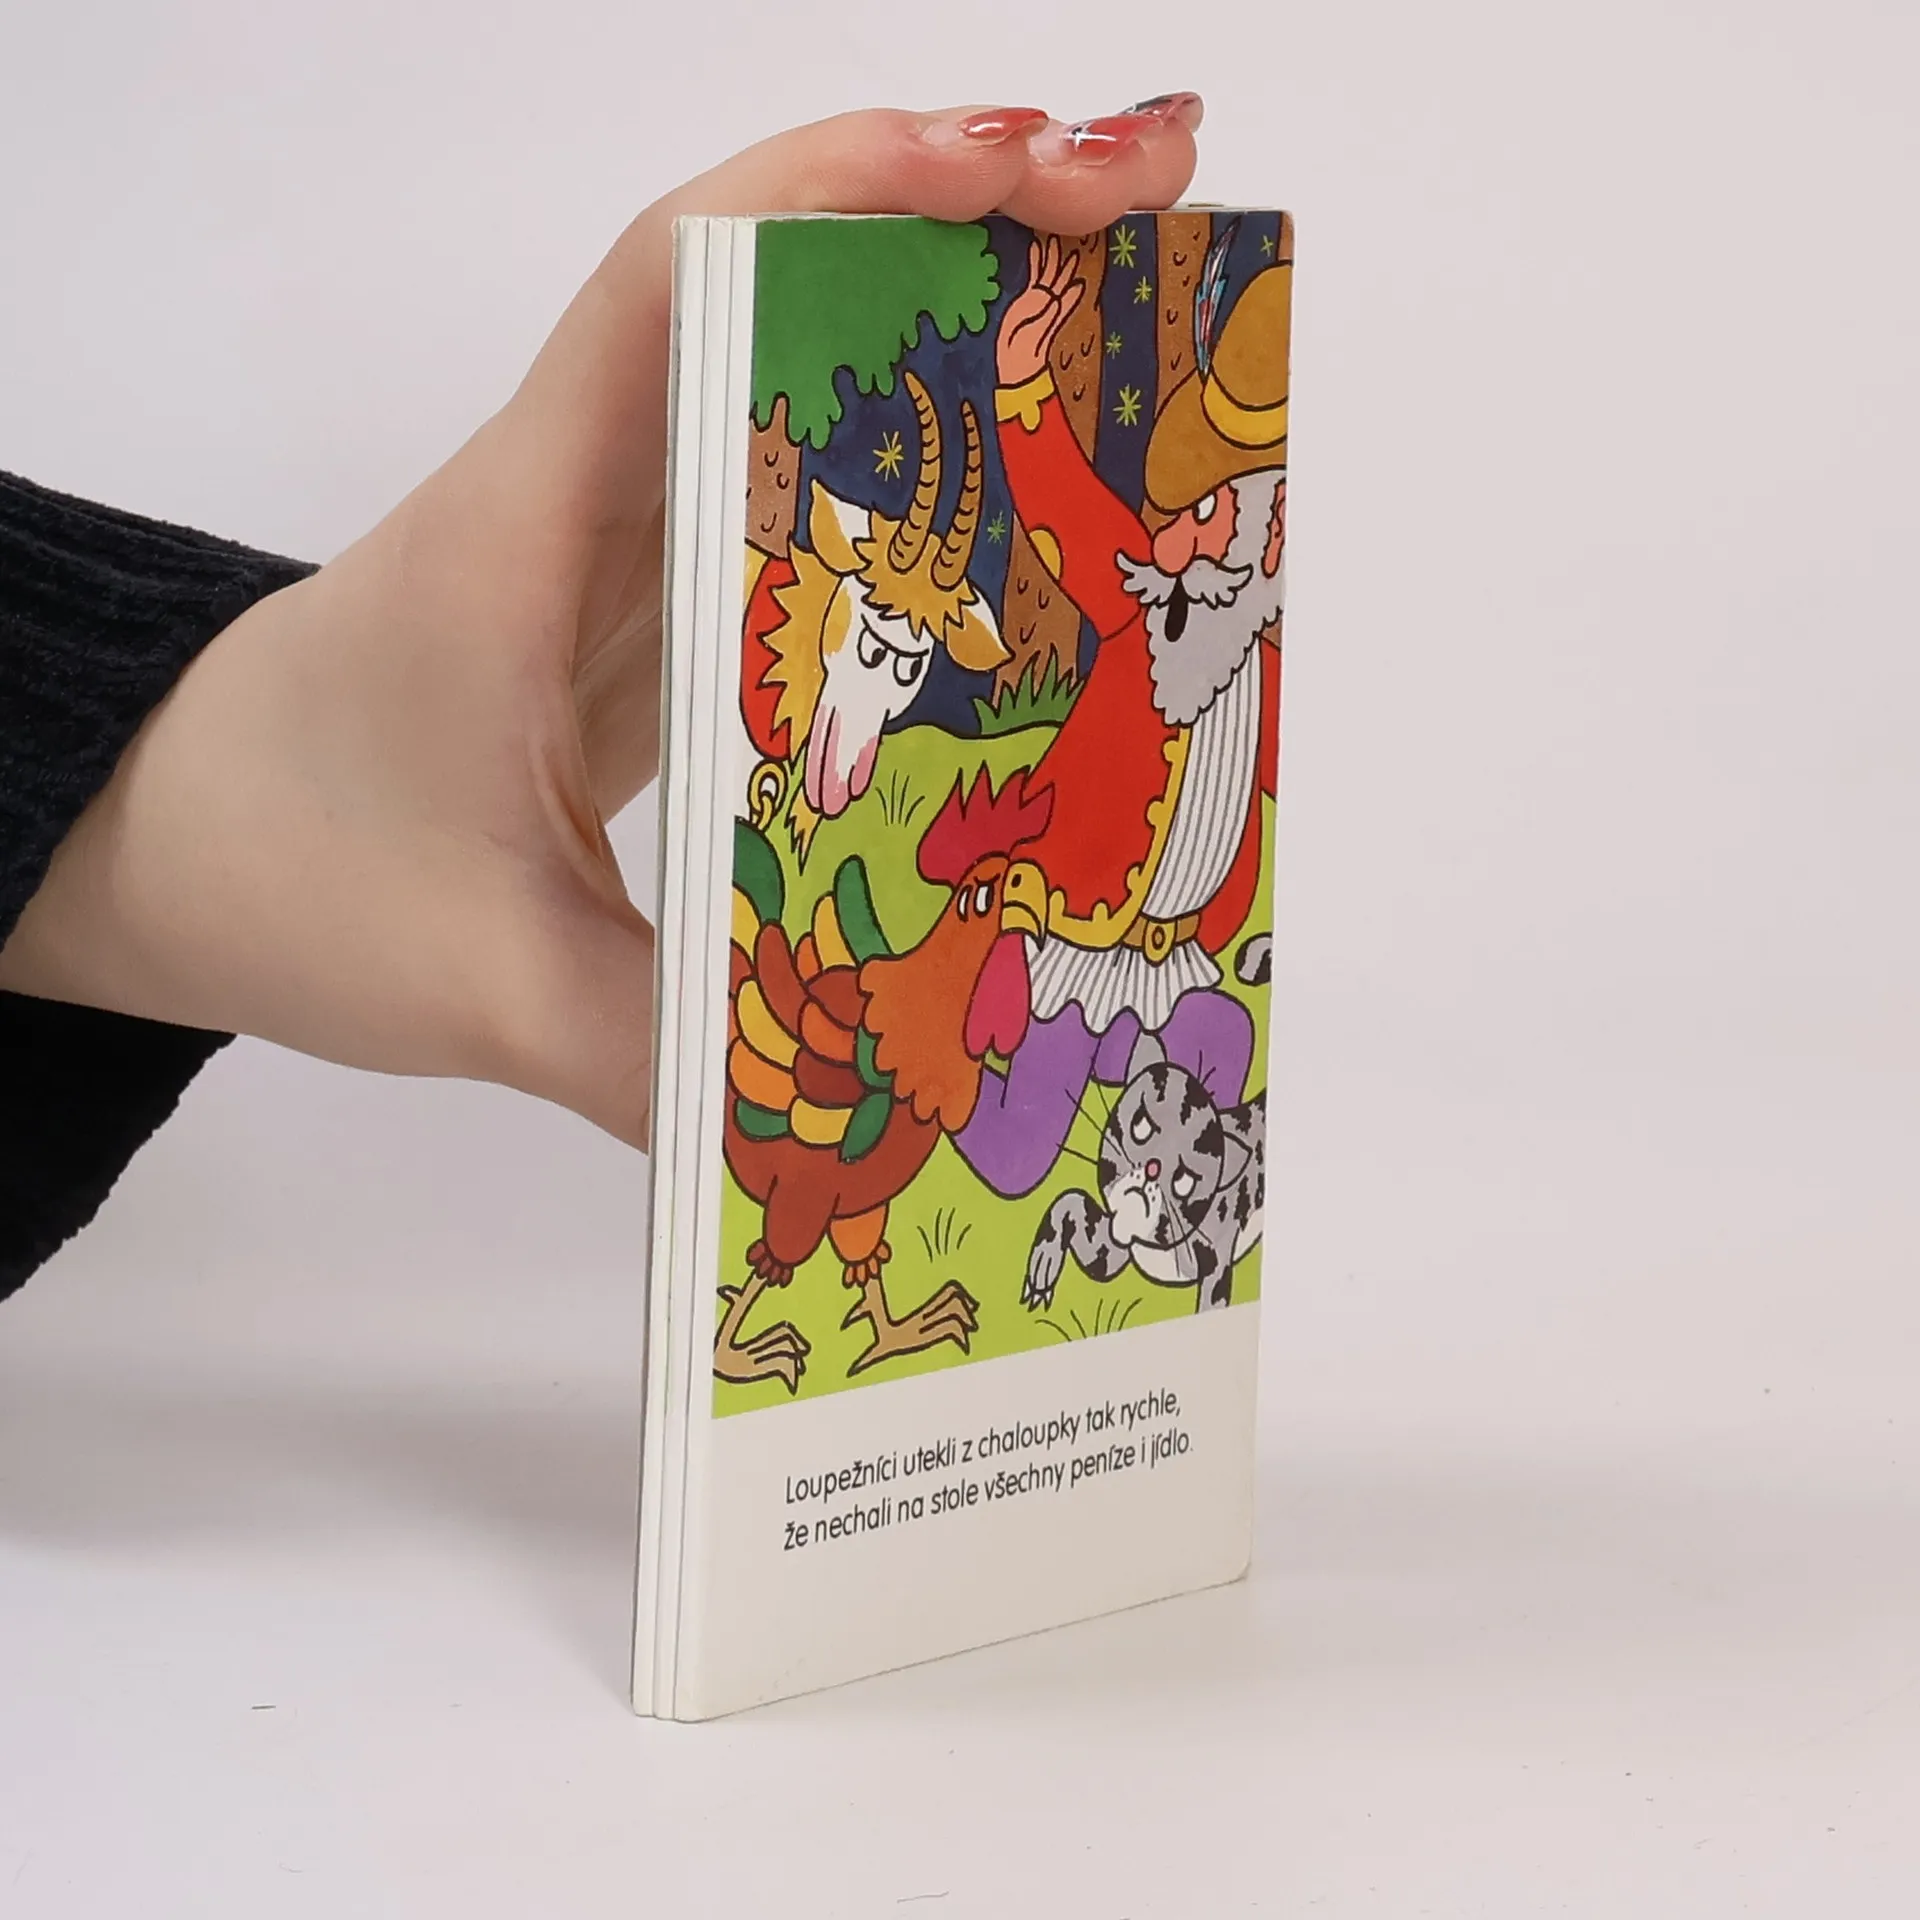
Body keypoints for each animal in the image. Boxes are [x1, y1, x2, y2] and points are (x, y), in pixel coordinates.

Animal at [1023, 1056, 1266, 1315]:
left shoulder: (1216, 1258)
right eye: (1141, 1126)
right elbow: (1071, 1201)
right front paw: (1043, 1266)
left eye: (1184, 1180)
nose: (1152, 1169)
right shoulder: (1113, 1246)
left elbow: (1212, 1302)